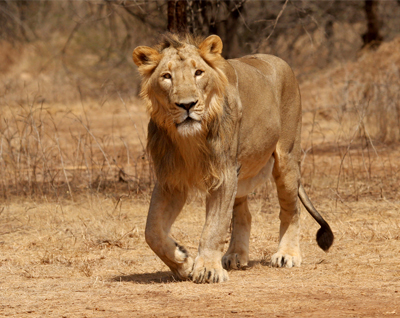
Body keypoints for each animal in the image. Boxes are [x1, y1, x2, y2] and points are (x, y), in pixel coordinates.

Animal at [133, 33, 332, 284]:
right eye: (166, 77)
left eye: (198, 72)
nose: (187, 105)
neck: (189, 139)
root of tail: (279, 61)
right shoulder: (171, 179)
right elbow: (152, 231)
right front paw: (182, 262)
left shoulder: (224, 173)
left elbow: (214, 227)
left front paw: (207, 270)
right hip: (243, 172)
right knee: (243, 213)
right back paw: (235, 255)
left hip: (286, 158)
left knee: (291, 210)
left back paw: (287, 255)